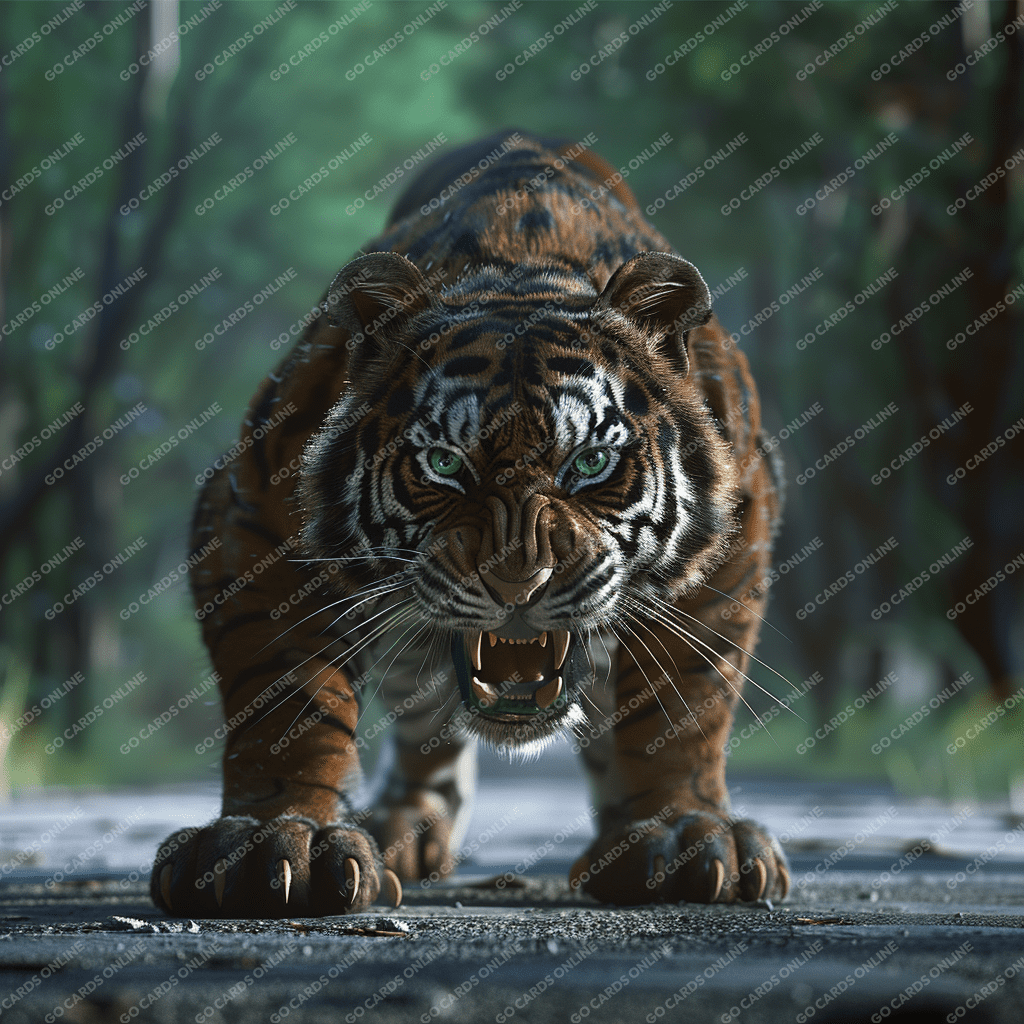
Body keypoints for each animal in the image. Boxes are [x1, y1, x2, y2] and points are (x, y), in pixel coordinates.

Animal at [151, 129, 789, 918]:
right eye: (444, 463)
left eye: (590, 462)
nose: (519, 582)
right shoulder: (252, 517)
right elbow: (284, 700)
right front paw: (275, 840)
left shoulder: (736, 531)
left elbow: (684, 704)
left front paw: (684, 832)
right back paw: (400, 827)